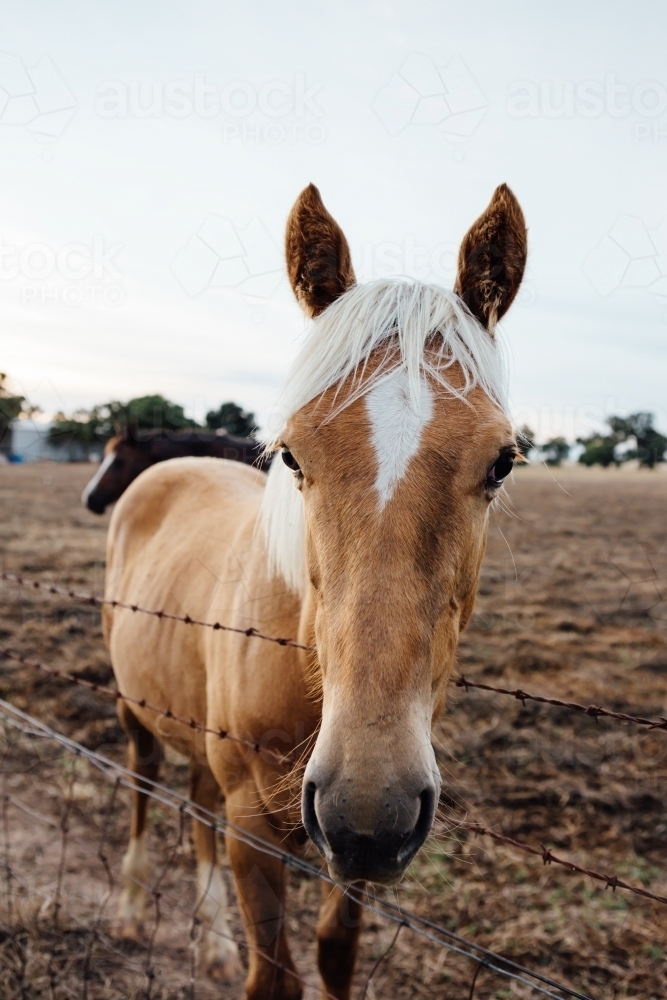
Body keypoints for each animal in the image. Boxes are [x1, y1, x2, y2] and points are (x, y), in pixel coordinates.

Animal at [104, 182, 527, 999]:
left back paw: (209, 940)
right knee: (142, 791)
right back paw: (134, 907)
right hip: (136, 713)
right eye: (293, 454)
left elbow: (335, 952)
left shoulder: (360, 840)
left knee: (194, 809)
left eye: (502, 463)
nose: (369, 797)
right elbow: (273, 975)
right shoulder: (255, 826)